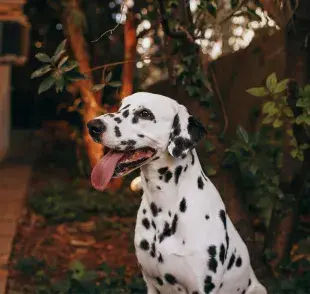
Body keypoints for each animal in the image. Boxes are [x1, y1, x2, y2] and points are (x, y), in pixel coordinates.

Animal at [86, 92, 266, 294]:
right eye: (121, 107)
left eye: (145, 113)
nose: (93, 126)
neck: (164, 207)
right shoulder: (151, 284)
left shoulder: (202, 287)